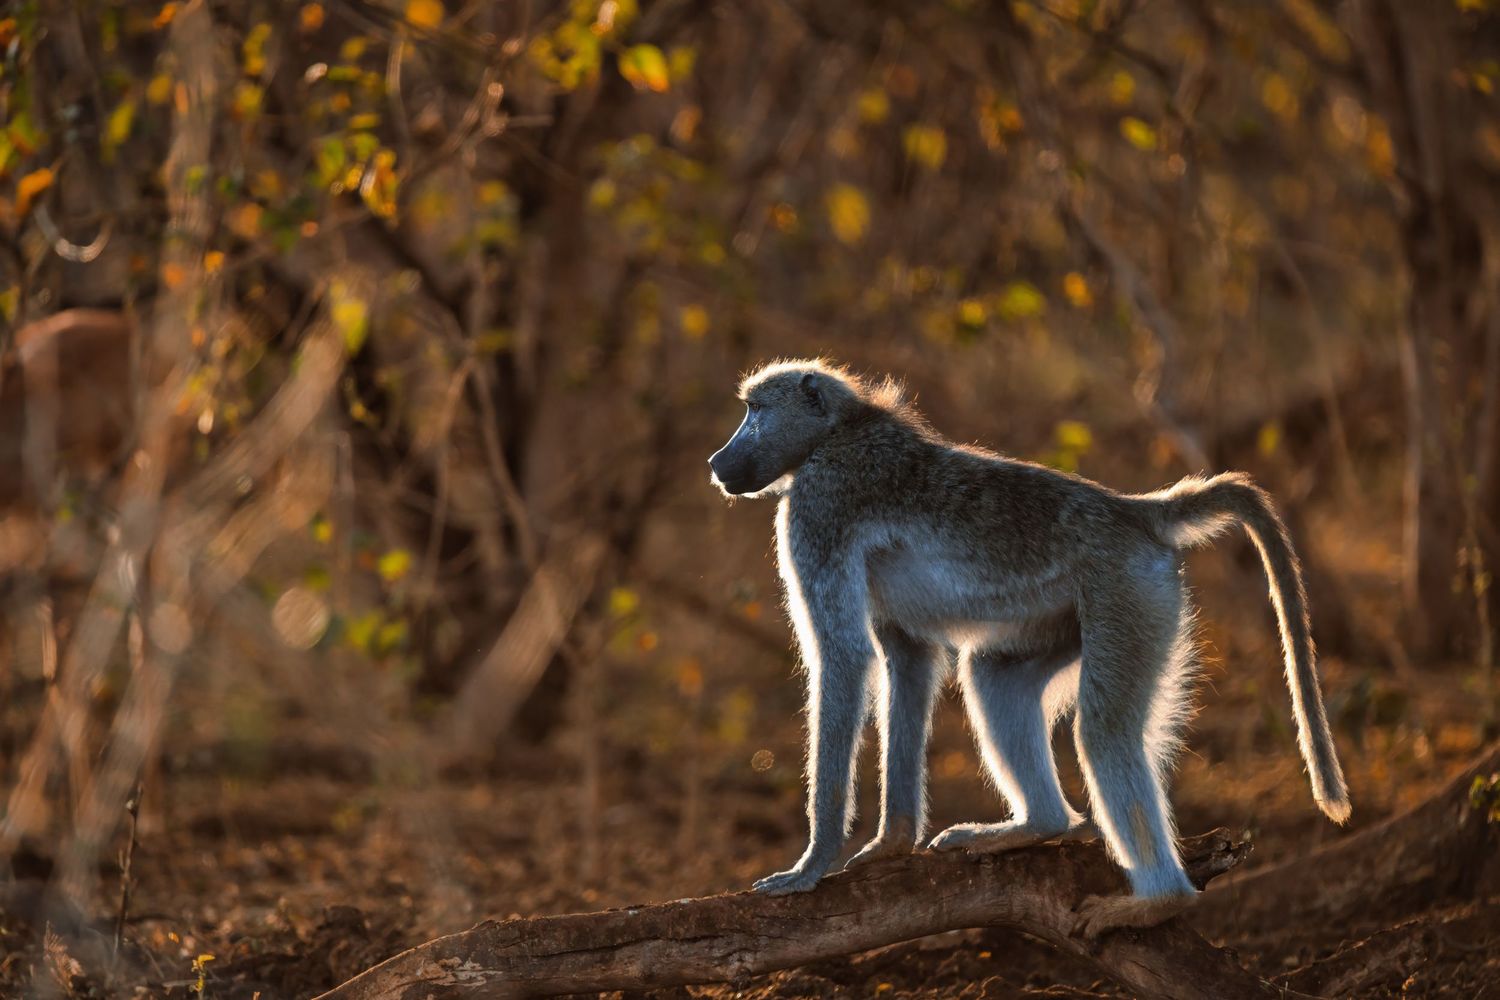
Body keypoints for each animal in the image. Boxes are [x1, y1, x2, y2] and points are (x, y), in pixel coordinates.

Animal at [707, 359, 1350, 937]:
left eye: (754, 411)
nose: (716, 461)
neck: (838, 432)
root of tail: (1134, 511)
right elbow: (910, 661)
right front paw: (892, 843)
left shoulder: (817, 509)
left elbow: (844, 658)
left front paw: (812, 864)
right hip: (1072, 615)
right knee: (993, 675)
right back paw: (1037, 825)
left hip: (1129, 594)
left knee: (1104, 732)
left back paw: (1157, 901)